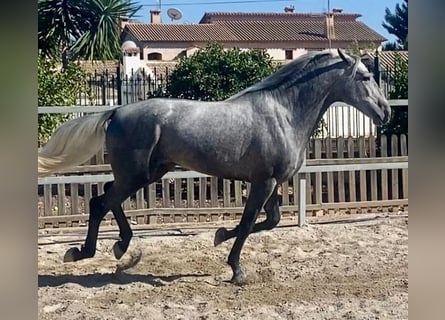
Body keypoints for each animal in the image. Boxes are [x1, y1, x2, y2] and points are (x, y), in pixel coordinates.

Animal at [40, 48, 390, 284]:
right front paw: (236, 269)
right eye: (364, 77)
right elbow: (249, 222)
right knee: (100, 203)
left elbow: (271, 221)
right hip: (136, 174)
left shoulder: (273, 182)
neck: (284, 113)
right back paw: (81, 252)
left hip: (147, 173)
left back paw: (119, 247)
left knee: (108, 197)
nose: (385, 111)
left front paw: (220, 235)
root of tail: (116, 112)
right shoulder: (263, 181)